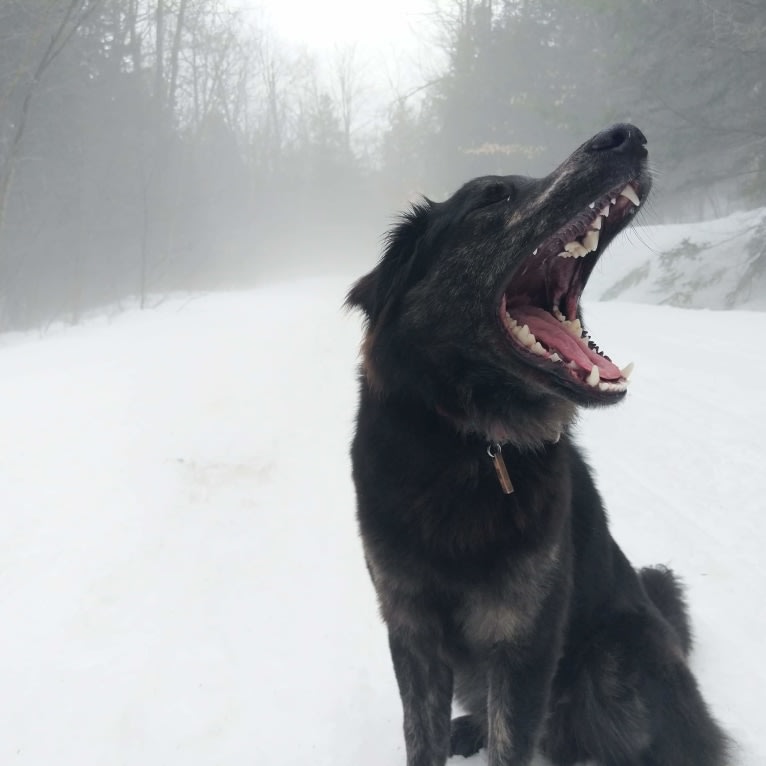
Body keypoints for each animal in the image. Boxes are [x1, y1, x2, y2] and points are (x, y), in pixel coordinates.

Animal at [348, 126, 732, 766]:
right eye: (492, 198)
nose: (627, 136)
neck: (474, 445)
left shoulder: (524, 642)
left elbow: (513, 741)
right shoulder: (413, 632)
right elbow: (422, 737)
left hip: (614, 659)